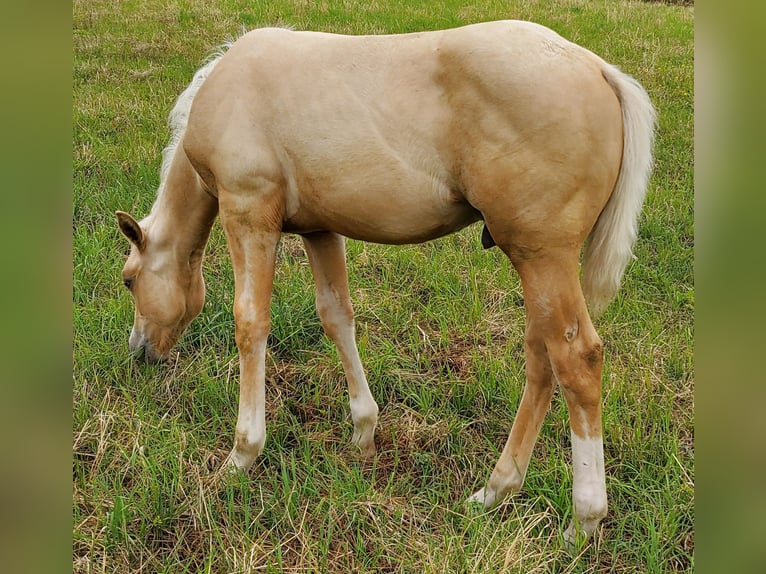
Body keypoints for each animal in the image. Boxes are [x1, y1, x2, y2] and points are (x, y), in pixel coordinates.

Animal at [117, 21, 656, 544]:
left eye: (128, 280)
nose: (140, 351)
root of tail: (599, 69)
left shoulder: (248, 215)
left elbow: (250, 325)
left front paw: (241, 456)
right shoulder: (319, 229)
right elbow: (337, 316)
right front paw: (363, 433)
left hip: (543, 257)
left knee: (575, 358)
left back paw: (583, 520)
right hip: (538, 266)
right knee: (543, 357)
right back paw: (495, 490)